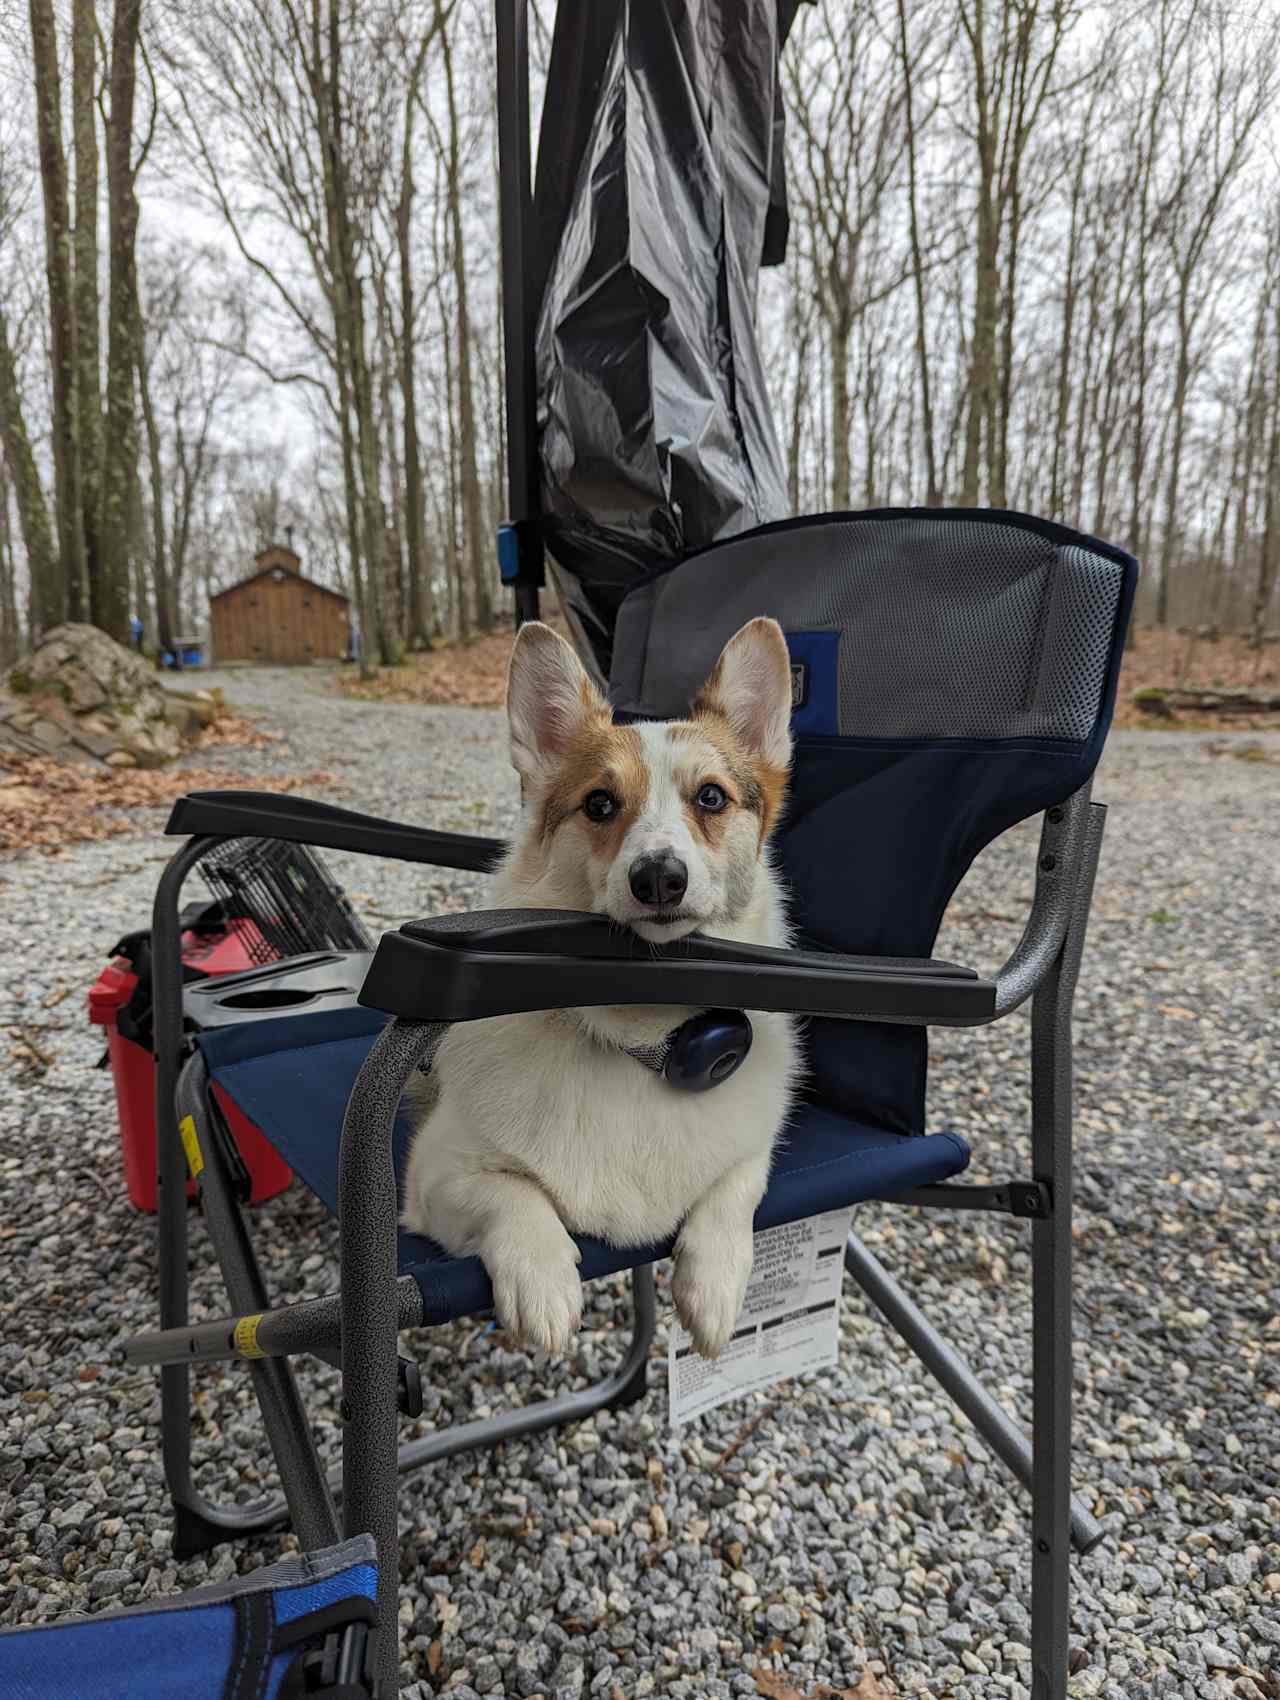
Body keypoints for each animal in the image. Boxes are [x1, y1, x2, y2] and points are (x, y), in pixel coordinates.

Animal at [399, 618, 798, 1360]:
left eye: (711, 797)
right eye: (600, 803)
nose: (659, 877)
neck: (641, 1036)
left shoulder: (751, 1152)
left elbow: (734, 1190)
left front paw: (714, 1283)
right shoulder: (434, 1177)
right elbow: (514, 1196)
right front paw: (543, 1280)